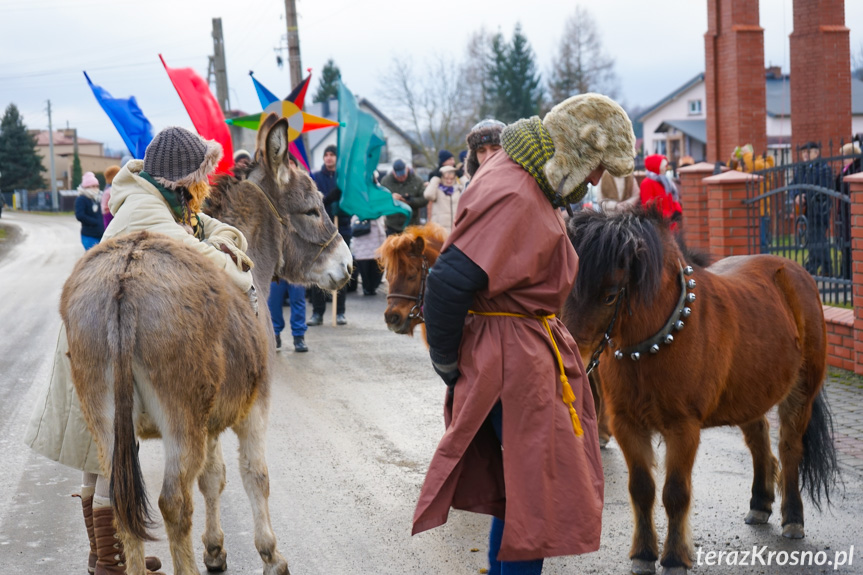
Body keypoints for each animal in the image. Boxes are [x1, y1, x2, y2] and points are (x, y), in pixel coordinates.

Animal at [60, 115, 354, 575]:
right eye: (312, 209)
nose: (349, 266)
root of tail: (124, 280)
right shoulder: (254, 407)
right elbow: (255, 475)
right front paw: (270, 554)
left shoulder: (211, 418)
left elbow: (213, 477)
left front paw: (216, 548)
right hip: (179, 420)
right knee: (173, 502)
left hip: (106, 421)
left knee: (119, 502)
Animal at [560, 208, 836, 575]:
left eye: (610, 294)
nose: (571, 359)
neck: (650, 348)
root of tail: (794, 272)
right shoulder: (627, 424)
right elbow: (642, 489)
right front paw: (643, 554)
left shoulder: (683, 427)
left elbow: (675, 493)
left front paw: (675, 558)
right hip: (748, 391)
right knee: (759, 437)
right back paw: (760, 502)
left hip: (801, 391)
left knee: (790, 447)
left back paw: (792, 518)